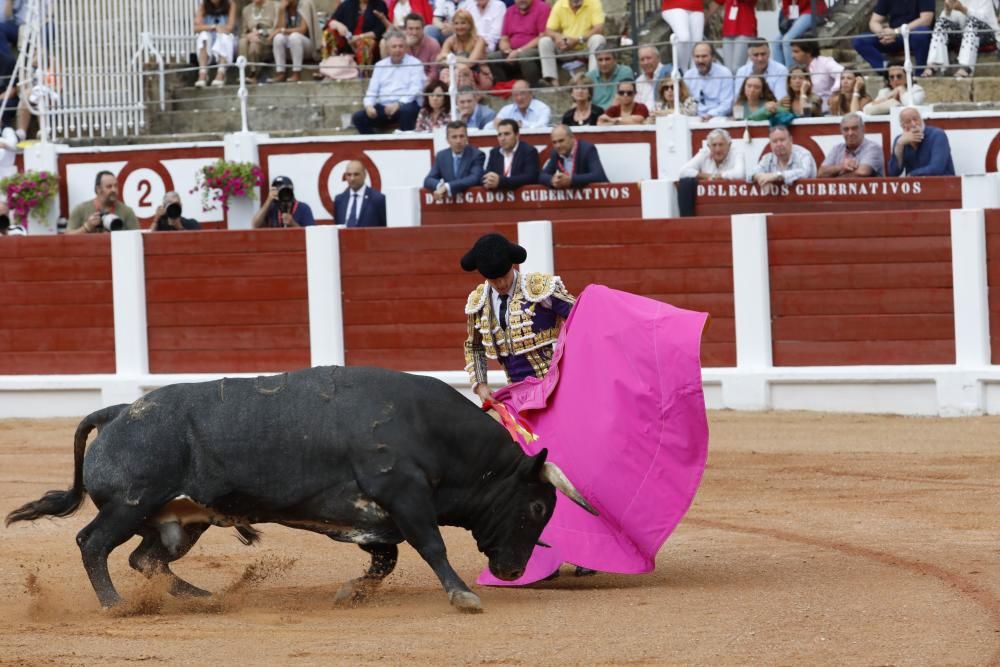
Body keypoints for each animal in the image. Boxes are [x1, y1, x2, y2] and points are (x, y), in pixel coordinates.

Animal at [5, 368, 592, 612]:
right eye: (536, 505)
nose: (512, 571)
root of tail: (120, 410)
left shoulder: (377, 516)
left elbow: (386, 560)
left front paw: (350, 592)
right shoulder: (403, 495)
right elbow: (431, 546)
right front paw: (463, 595)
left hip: (180, 519)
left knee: (146, 559)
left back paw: (205, 598)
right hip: (131, 504)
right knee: (94, 544)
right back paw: (115, 605)